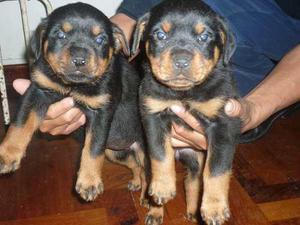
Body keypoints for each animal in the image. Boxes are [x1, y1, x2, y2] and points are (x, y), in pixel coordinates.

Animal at [0, 1, 146, 202]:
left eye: (100, 39)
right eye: (60, 35)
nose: (79, 60)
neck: (73, 86)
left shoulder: (102, 111)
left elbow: (93, 147)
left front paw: (89, 182)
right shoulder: (38, 91)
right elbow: (20, 123)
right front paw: (7, 154)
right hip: (115, 151)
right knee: (134, 163)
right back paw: (136, 182)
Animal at [132, 0, 243, 224]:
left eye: (205, 36)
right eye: (160, 35)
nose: (181, 61)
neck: (184, 93)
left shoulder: (224, 124)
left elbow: (217, 169)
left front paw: (214, 208)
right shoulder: (152, 113)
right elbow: (160, 153)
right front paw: (163, 188)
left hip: (196, 159)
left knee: (193, 182)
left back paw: (193, 211)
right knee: (147, 175)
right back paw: (153, 208)